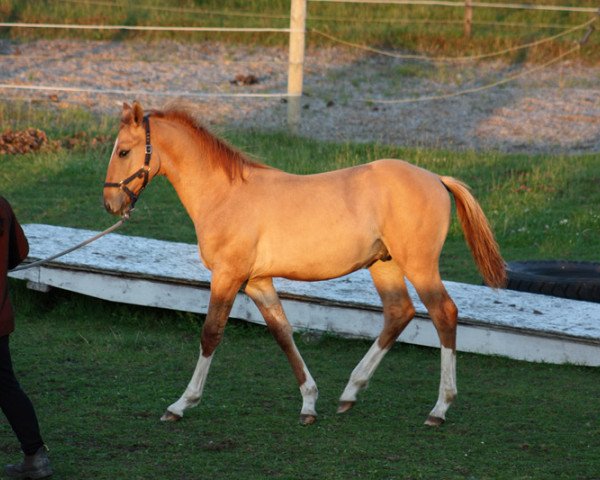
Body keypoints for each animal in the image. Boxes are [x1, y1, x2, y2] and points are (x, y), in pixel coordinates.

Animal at [103, 101, 506, 428]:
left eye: (123, 151)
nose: (109, 203)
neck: (225, 195)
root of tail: (436, 178)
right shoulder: (257, 282)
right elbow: (283, 333)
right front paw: (309, 404)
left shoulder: (227, 276)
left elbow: (211, 334)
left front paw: (181, 404)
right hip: (385, 265)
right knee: (399, 312)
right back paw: (350, 393)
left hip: (419, 266)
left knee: (444, 314)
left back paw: (439, 409)